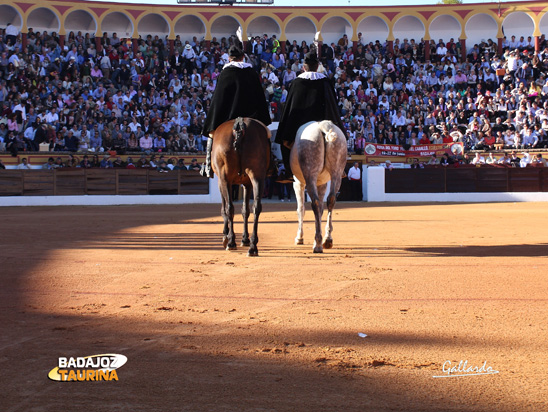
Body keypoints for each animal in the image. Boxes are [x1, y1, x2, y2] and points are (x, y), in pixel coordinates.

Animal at [210, 117, 272, 256]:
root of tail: (239, 124)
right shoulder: (247, 183)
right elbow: (245, 210)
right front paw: (245, 239)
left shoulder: (221, 181)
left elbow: (224, 208)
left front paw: (225, 236)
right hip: (257, 176)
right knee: (256, 207)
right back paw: (253, 246)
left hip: (225, 178)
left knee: (229, 208)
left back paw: (231, 242)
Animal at [292, 120, 346, 253]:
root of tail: (323, 126)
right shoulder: (322, 183)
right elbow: (321, 209)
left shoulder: (298, 183)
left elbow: (301, 209)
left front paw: (299, 237)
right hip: (337, 172)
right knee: (331, 199)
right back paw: (327, 239)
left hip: (310, 174)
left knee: (315, 203)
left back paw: (317, 244)